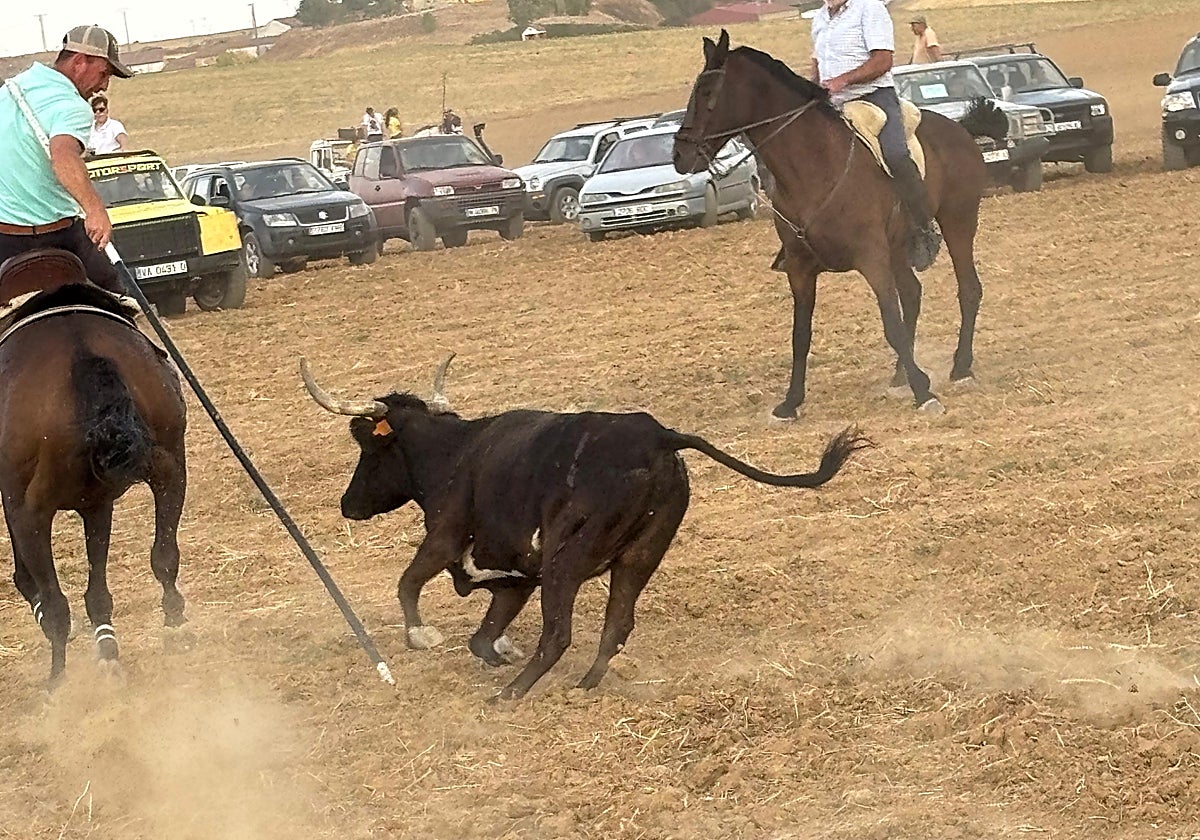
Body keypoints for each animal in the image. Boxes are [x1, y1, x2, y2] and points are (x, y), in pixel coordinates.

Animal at [302, 356, 870, 699]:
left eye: (367, 448)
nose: (347, 504)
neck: (456, 453)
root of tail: (659, 436)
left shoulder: (445, 540)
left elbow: (409, 583)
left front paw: (422, 635)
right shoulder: (514, 578)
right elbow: (482, 635)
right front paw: (497, 648)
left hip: (565, 563)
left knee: (559, 635)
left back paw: (511, 695)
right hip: (638, 558)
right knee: (616, 625)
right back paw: (583, 687)